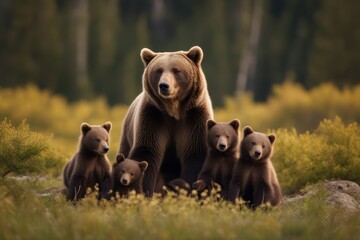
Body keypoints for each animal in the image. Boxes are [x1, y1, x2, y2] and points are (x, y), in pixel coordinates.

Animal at [118, 46, 214, 196]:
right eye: (158, 70)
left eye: (177, 70)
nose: (164, 85)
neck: (173, 110)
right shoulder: (153, 117)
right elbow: (147, 151)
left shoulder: (195, 118)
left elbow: (196, 153)